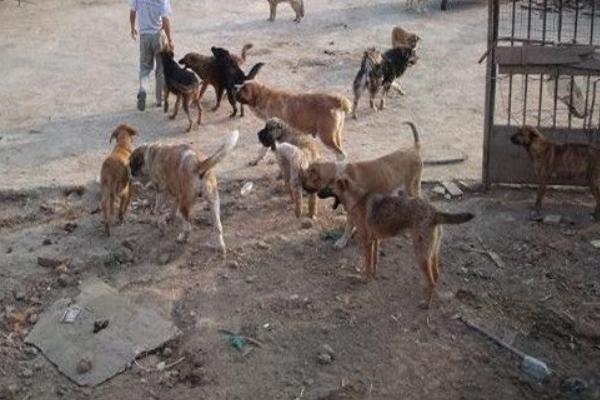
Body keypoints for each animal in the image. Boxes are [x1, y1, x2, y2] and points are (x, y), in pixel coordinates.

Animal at [300, 120, 422, 248]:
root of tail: (414, 149)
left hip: (411, 186)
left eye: (308, 177)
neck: (338, 173)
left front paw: (342, 240)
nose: (302, 186)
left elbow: (349, 226)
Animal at [328, 180, 474, 308]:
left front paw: (366, 279)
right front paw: (374, 276)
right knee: (435, 275)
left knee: (431, 281)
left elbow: (368, 265)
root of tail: (434, 212)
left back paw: (427, 303)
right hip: (432, 254)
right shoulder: (375, 241)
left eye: (328, 188)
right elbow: (374, 262)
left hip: (421, 256)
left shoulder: (367, 242)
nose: (320, 192)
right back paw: (429, 293)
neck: (356, 197)